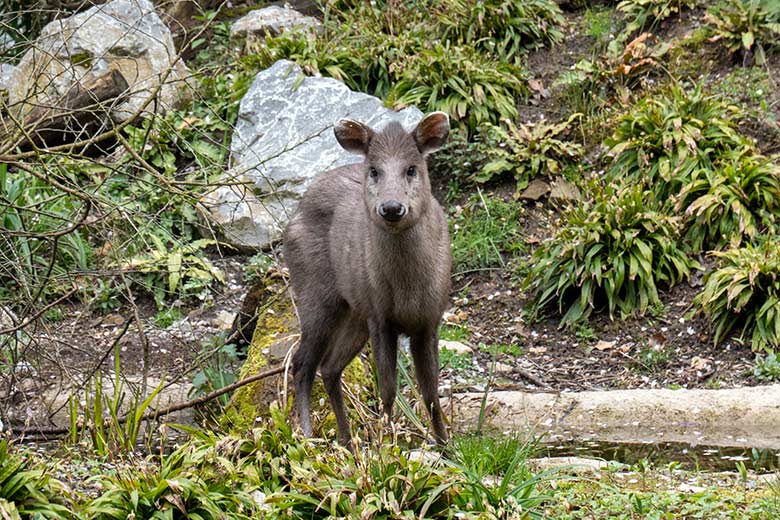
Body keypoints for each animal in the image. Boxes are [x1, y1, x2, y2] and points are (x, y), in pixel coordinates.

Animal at [282, 111, 450, 444]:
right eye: (374, 170)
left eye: (411, 169)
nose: (392, 207)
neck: (408, 288)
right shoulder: (380, 317)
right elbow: (388, 389)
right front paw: (388, 443)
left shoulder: (429, 320)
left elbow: (430, 393)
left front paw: (446, 446)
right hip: (317, 296)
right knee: (302, 364)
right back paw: (307, 437)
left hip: (354, 313)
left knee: (329, 367)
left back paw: (346, 441)